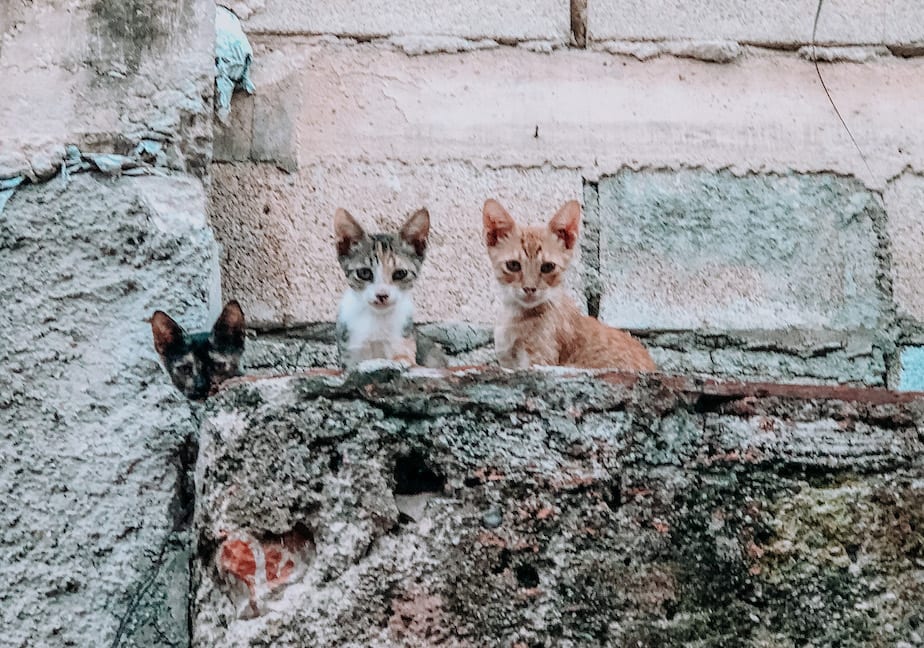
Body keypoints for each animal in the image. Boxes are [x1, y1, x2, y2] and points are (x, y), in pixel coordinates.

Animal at [484, 197, 656, 372]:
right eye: (513, 265)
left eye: (548, 267)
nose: (529, 288)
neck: (514, 315)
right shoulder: (508, 362)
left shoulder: (539, 360)